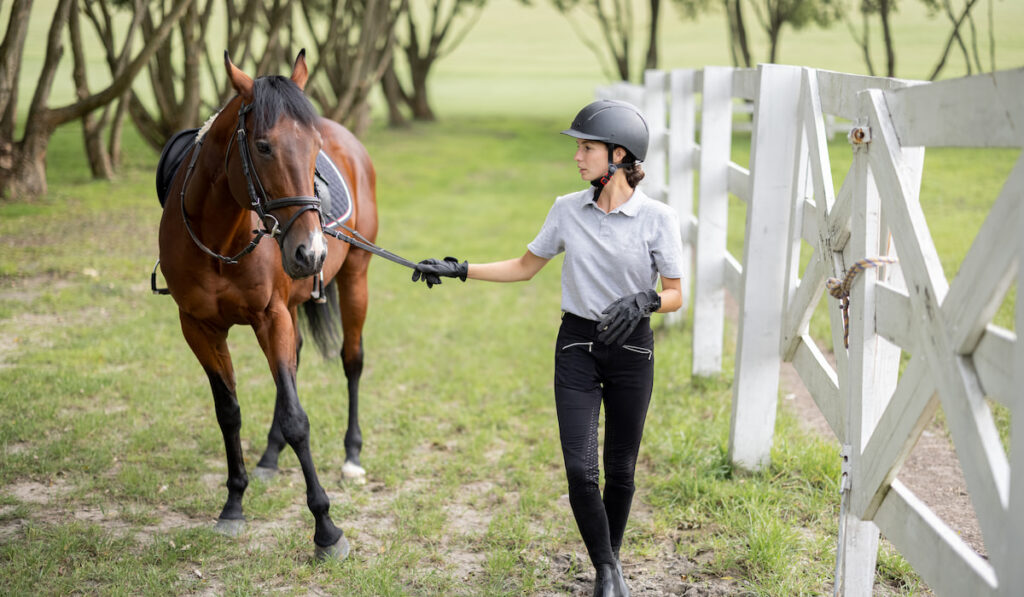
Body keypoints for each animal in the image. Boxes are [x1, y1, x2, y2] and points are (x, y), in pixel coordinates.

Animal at [155, 51, 372, 561]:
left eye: (314, 146)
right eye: (263, 146)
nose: (310, 252)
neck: (220, 240)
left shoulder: (270, 318)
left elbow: (297, 418)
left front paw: (327, 530)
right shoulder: (198, 327)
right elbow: (229, 412)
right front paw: (234, 504)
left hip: (355, 277)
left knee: (351, 361)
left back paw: (352, 455)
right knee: (292, 368)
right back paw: (271, 458)